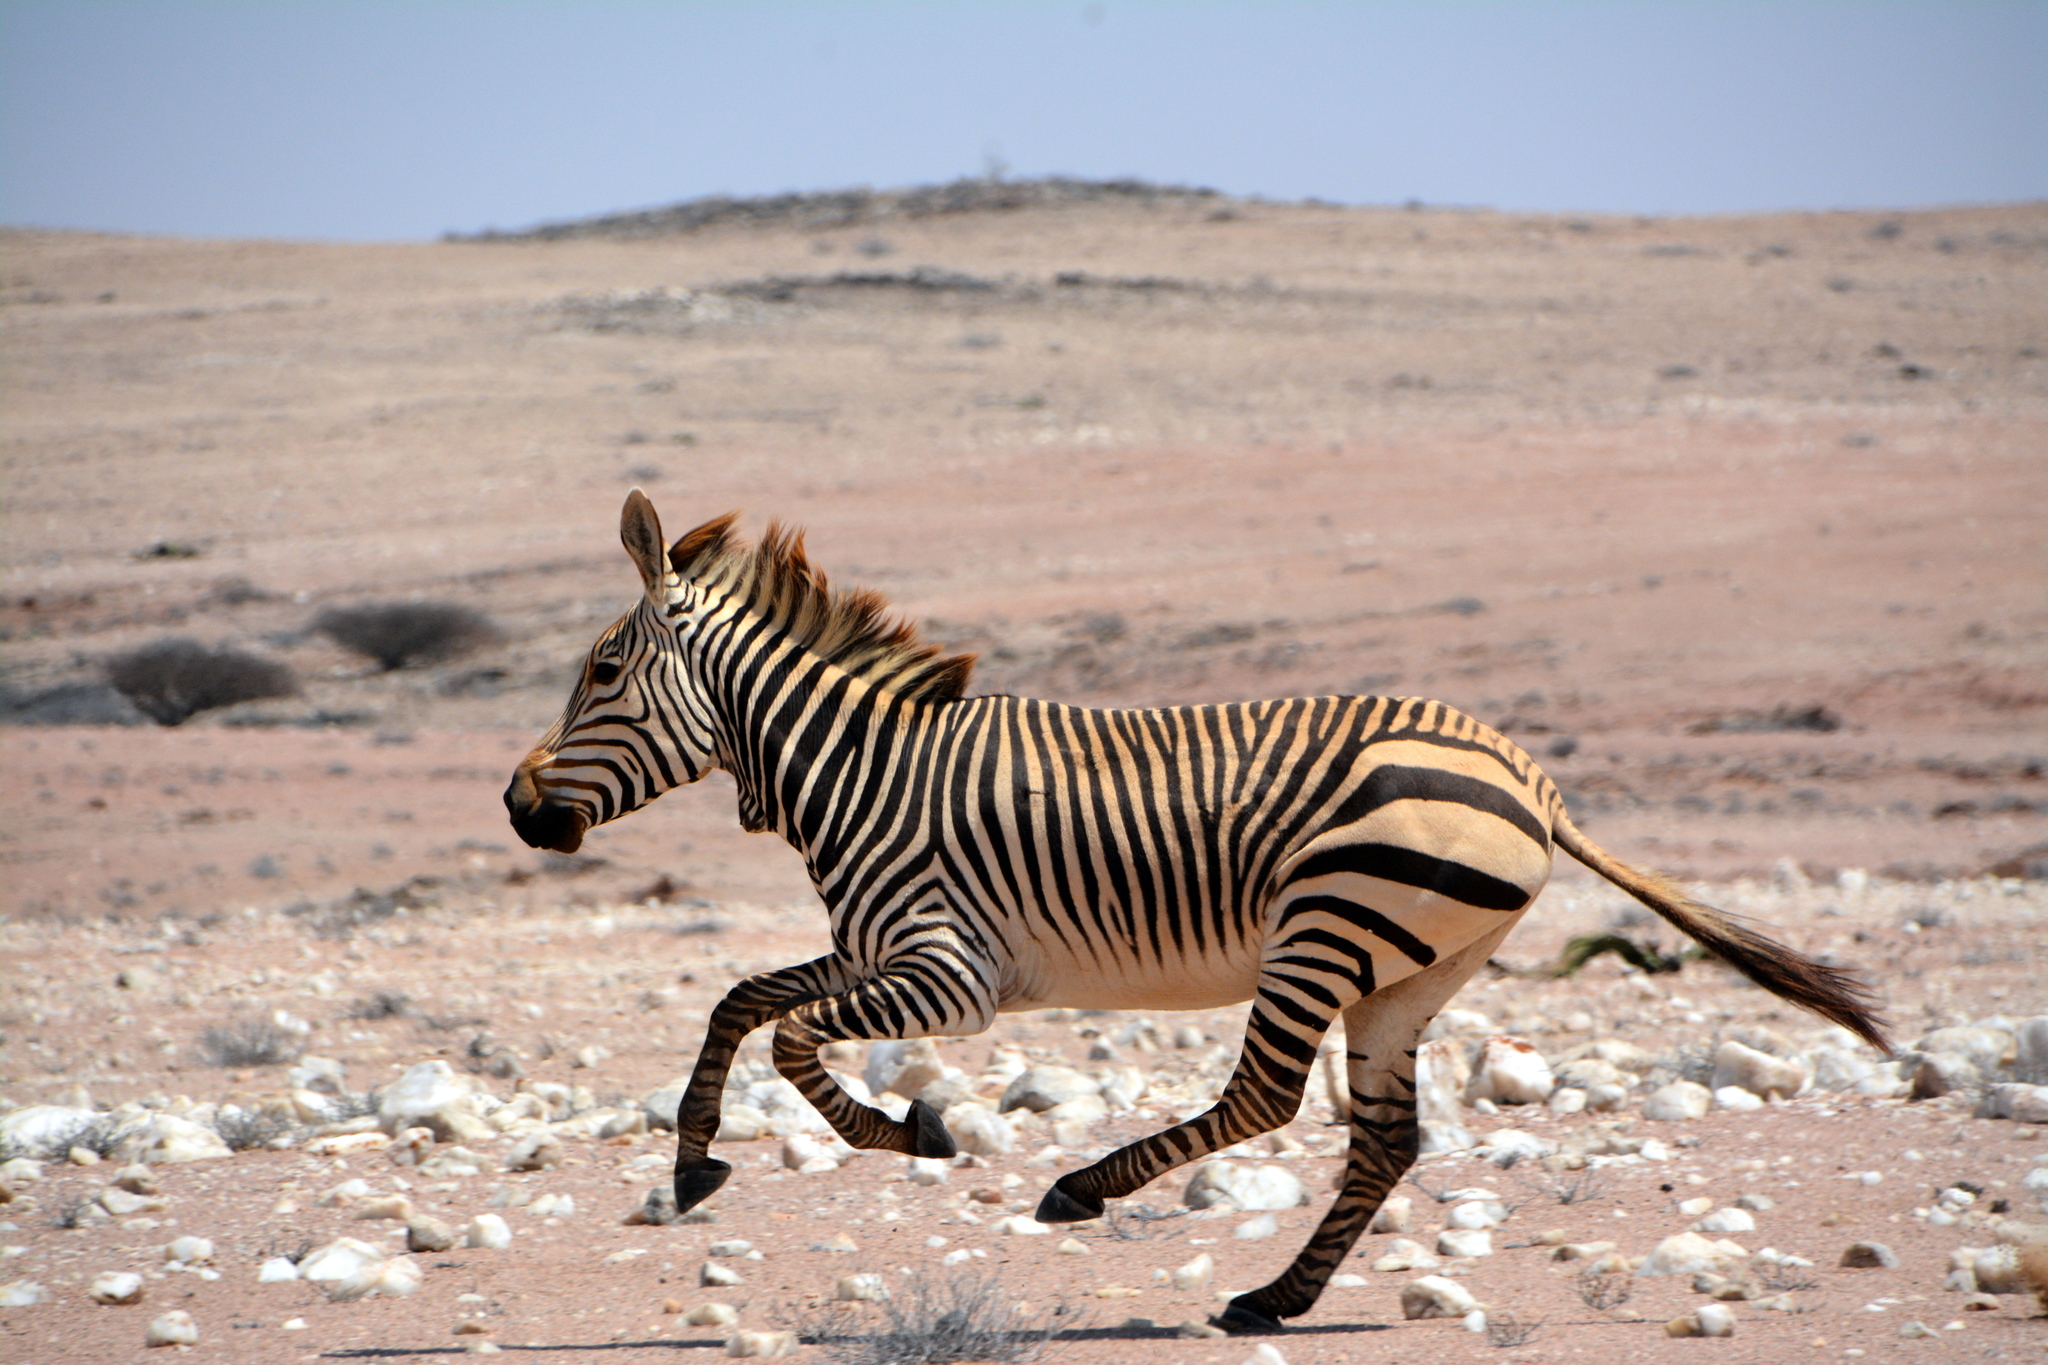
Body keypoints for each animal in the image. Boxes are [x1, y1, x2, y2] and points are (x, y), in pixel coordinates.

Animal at [499, 493, 1884, 1334]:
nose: (517, 809)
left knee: (1266, 1099)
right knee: (1383, 1140)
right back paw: (1273, 1301)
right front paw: (694, 1159)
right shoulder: (874, 950)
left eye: (603, 672)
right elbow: (739, 1001)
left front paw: (912, 1131)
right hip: (1411, 972)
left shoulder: (949, 974)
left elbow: (788, 1037)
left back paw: (1085, 1192)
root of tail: (1532, 780)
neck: (862, 773)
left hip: (1327, 925)